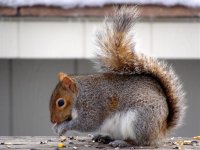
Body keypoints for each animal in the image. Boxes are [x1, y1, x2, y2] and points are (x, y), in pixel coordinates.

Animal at [49, 6, 186, 148]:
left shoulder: (93, 105)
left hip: (139, 120)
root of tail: (161, 129)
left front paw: (62, 127)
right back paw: (104, 137)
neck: (80, 94)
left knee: (140, 141)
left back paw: (123, 142)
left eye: (61, 102)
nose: (53, 120)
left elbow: (87, 123)